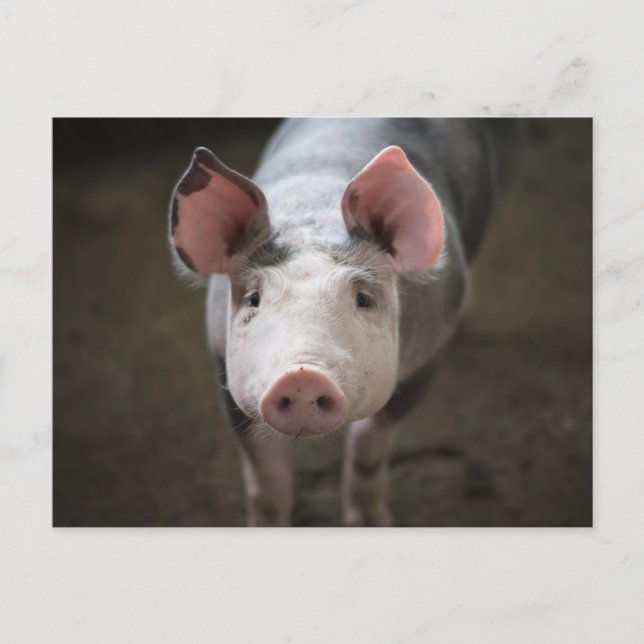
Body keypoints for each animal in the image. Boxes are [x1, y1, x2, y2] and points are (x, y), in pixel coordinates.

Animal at [169, 118, 520, 527]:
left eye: (363, 299)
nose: (302, 375)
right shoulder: (224, 366)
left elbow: (369, 448)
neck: (314, 211)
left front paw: (372, 523)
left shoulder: (426, 359)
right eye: (254, 298)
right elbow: (264, 476)